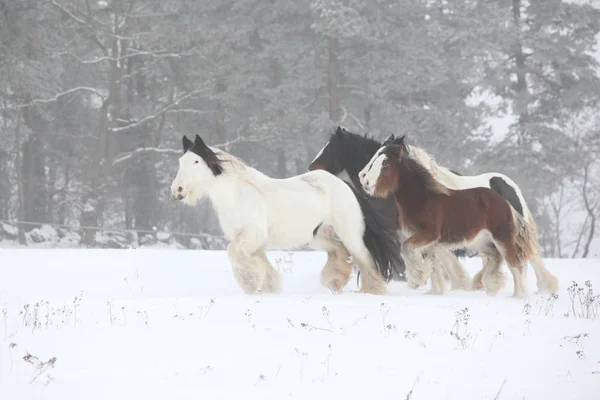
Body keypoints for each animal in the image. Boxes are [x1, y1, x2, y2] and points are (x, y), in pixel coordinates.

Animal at [170, 134, 404, 294]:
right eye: (180, 162)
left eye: (196, 161)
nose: (177, 190)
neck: (238, 194)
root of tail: (345, 186)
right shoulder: (254, 243)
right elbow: (262, 264)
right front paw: (268, 287)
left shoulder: (250, 236)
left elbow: (233, 252)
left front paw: (250, 283)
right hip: (317, 236)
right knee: (338, 251)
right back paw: (334, 281)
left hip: (351, 234)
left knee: (364, 258)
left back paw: (371, 290)